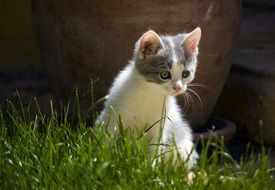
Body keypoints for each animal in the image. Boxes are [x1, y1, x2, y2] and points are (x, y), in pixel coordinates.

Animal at [98, 27, 202, 169]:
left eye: (186, 74)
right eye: (164, 74)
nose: (178, 88)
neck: (151, 92)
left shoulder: (161, 123)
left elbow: (156, 146)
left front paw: (152, 167)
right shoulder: (112, 115)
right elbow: (108, 136)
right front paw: (105, 159)